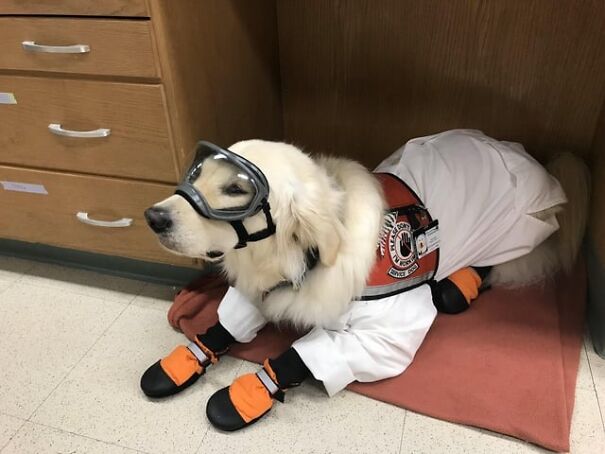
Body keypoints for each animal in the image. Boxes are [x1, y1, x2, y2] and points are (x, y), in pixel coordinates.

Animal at [140, 129, 584, 430]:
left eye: (236, 189)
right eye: (197, 172)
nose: (152, 217)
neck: (303, 259)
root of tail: (539, 167)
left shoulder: (388, 337)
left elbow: (303, 354)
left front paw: (244, 394)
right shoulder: (262, 292)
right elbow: (226, 324)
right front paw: (185, 359)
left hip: (515, 241)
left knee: (506, 267)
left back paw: (459, 285)